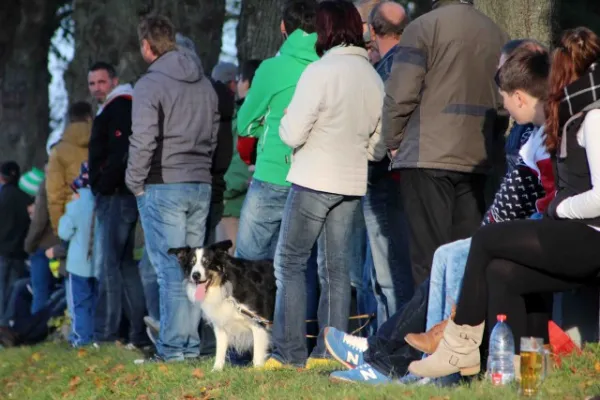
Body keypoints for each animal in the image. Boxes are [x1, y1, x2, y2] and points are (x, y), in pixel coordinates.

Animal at [169, 239, 276, 370]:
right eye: (191, 263)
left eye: (207, 262)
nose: (195, 275)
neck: (224, 284)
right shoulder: (221, 324)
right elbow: (220, 351)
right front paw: (216, 370)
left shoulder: (259, 323)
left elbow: (257, 357)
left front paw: (257, 371)